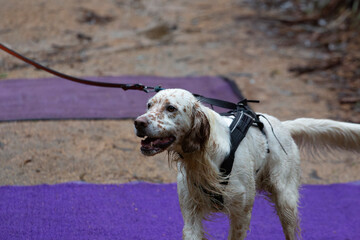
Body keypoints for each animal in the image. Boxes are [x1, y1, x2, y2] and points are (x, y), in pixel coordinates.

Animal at [134, 88, 358, 240]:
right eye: (149, 105)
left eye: (170, 108)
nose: (138, 122)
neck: (204, 157)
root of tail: (283, 126)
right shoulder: (191, 214)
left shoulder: (241, 215)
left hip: (286, 201)